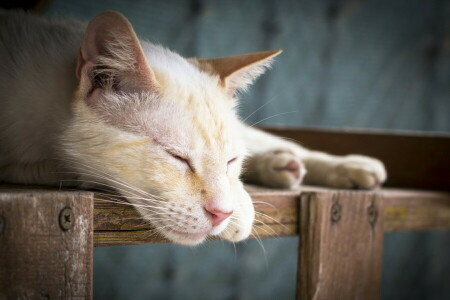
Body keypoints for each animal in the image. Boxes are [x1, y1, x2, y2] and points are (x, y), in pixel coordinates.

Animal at [0, 10, 386, 246]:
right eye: (177, 158)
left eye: (231, 162)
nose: (221, 213)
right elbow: (53, 167)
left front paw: (240, 201)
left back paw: (333, 164)